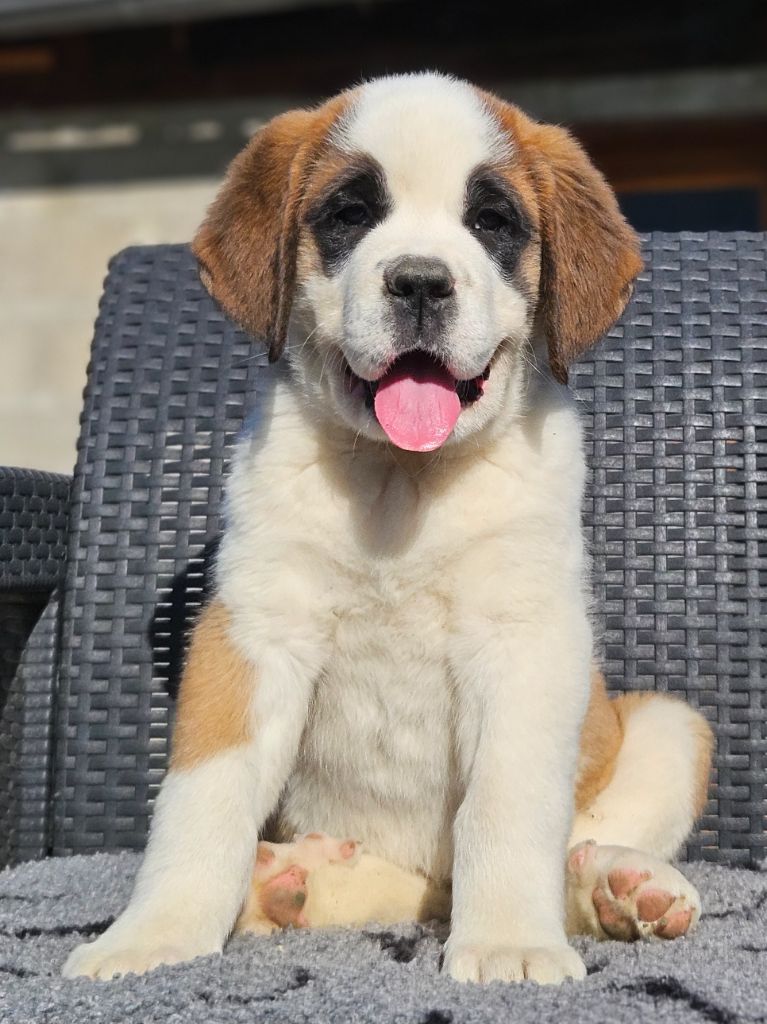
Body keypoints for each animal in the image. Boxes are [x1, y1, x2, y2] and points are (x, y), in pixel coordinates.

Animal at [64, 72, 713, 985]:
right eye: (350, 214)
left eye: (491, 222)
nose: (418, 283)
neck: (399, 486)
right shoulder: (252, 635)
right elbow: (204, 795)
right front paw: (155, 934)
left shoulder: (523, 643)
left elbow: (508, 805)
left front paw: (509, 941)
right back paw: (289, 883)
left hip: (666, 725)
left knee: (560, 839)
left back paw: (615, 886)